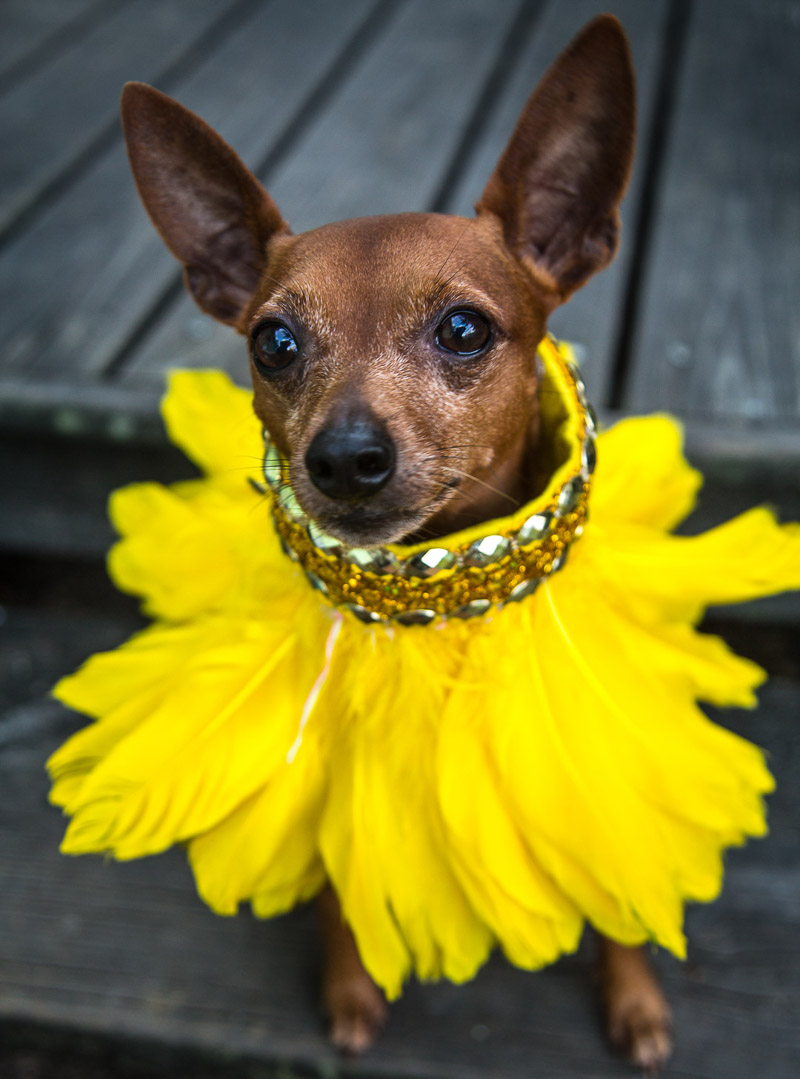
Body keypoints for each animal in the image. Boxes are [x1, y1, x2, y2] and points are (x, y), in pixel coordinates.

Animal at [117, 14, 669, 1070]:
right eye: (274, 343)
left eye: (464, 328)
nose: (343, 457)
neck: (444, 586)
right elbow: (341, 890)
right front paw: (349, 985)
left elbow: (613, 864)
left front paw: (633, 995)